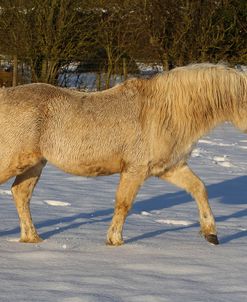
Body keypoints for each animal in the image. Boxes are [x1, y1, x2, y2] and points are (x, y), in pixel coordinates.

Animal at [0, 63, 246, 245]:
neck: (163, 112)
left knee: (20, 194)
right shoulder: (134, 170)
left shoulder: (170, 168)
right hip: (14, 161)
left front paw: (211, 234)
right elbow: (124, 204)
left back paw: (33, 238)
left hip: (34, 163)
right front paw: (115, 241)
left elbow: (199, 188)